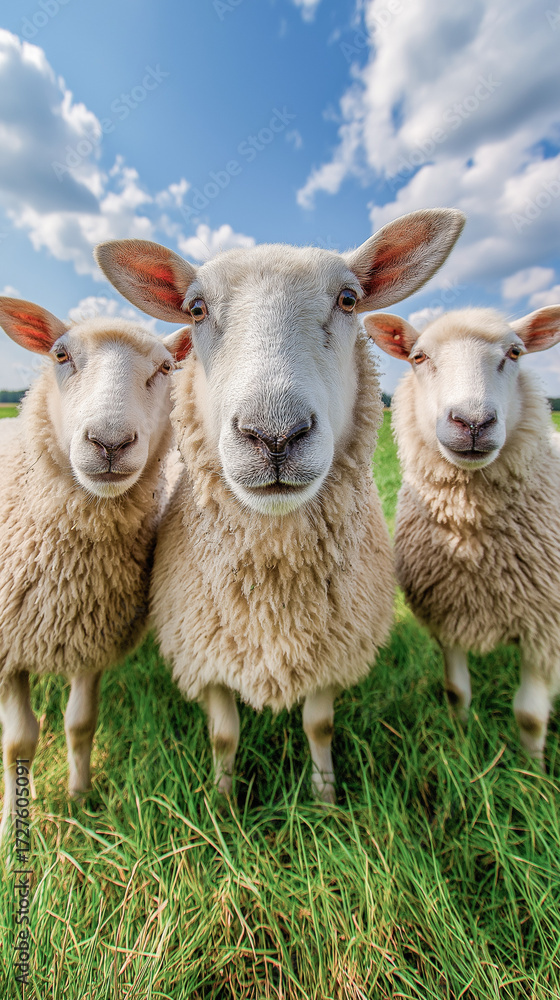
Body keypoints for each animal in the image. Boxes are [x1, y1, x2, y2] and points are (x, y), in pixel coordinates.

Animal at [0, 298, 188, 836]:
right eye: (60, 355)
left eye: (165, 368)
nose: (109, 442)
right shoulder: (8, 649)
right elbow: (18, 742)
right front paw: (13, 825)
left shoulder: (91, 637)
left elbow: (80, 724)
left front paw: (81, 796)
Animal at [95, 208, 465, 802]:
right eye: (196, 309)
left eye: (348, 299)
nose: (273, 435)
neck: (273, 588)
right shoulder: (206, 654)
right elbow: (224, 734)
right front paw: (222, 802)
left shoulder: (332, 656)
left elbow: (320, 725)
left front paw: (325, 798)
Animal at [365, 305, 560, 765]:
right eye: (418, 357)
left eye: (515, 352)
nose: (473, 422)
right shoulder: (447, 613)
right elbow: (456, 691)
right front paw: (460, 739)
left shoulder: (545, 629)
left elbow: (530, 716)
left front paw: (533, 771)